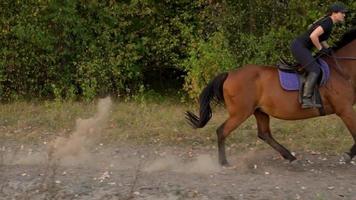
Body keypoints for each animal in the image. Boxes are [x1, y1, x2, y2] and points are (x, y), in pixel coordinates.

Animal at [185, 28, 356, 166]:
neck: (341, 70)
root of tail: (229, 74)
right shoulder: (345, 109)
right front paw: (347, 156)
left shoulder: (346, 109)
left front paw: (348, 155)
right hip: (240, 113)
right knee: (222, 131)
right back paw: (223, 162)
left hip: (259, 111)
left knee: (264, 134)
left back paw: (289, 156)